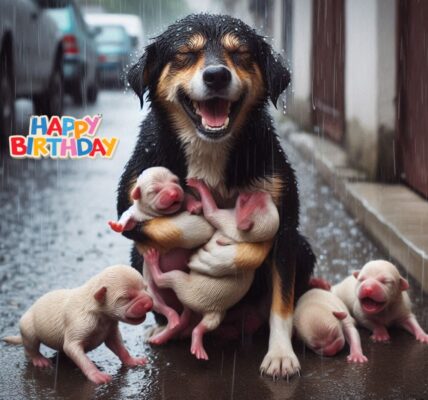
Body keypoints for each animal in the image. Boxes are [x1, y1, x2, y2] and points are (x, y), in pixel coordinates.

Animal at [2, 266, 154, 384]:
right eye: (126, 298)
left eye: (146, 288)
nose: (149, 303)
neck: (99, 312)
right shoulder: (79, 327)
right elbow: (75, 350)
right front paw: (96, 375)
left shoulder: (111, 329)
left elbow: (120, 347)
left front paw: (132, 360)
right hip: (28, 328)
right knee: (30, 347)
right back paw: (39, 359)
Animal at [144, 180, 280, 360]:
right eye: (263, 202)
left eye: (247, 202)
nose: (263, 192)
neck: (249, 237)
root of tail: (200, 309)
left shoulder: (228, 221)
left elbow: (211, 213)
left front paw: (198, 184)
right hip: (215, 314)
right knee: (196, 324)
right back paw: (166, 338)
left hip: (184, 286)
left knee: (167, 280)